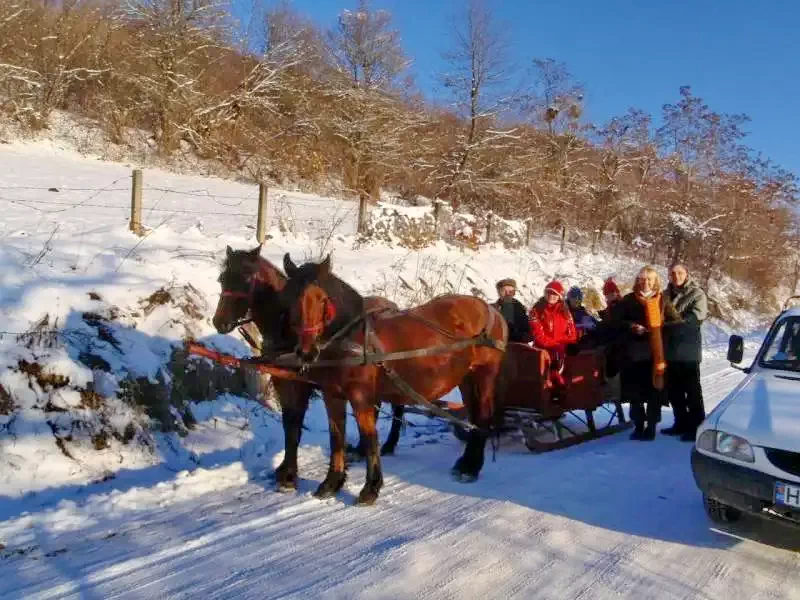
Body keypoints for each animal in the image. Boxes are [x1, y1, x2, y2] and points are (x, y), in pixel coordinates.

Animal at [211, 244, 400, 492]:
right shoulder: (282, 382)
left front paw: (290, 474)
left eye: (247, 278)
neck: (286, 330)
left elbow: (296, 424)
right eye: (222, 279)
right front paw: (285, 469)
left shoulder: (301, 386)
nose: (220, 322)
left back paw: (389, 444)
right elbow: (289, 423)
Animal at [280, 253, 506, 506]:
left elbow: (370, 439)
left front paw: (371, 487)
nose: (306, 352)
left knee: (483, 417)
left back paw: (472, 468)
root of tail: (491, 309)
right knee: (473, 416)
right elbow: (336, 437)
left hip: (485, 374)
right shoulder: (333, 395)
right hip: (466, 378)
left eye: (321, 300)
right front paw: (331, 483)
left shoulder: (361, 397)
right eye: (289, 298)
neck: (350, 339)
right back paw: (466, 463)